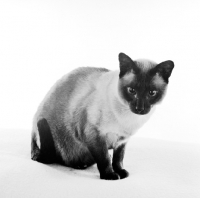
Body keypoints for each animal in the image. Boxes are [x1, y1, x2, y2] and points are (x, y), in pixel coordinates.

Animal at [30, 52, 174, 179]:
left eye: (152, 93)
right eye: (132, 91)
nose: (140, 108)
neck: (127, 119)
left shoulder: (122, 140)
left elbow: (118, 159)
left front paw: (120, 172)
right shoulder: (94, 134)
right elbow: (104, 158)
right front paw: (109, 175)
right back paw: (79, 165)